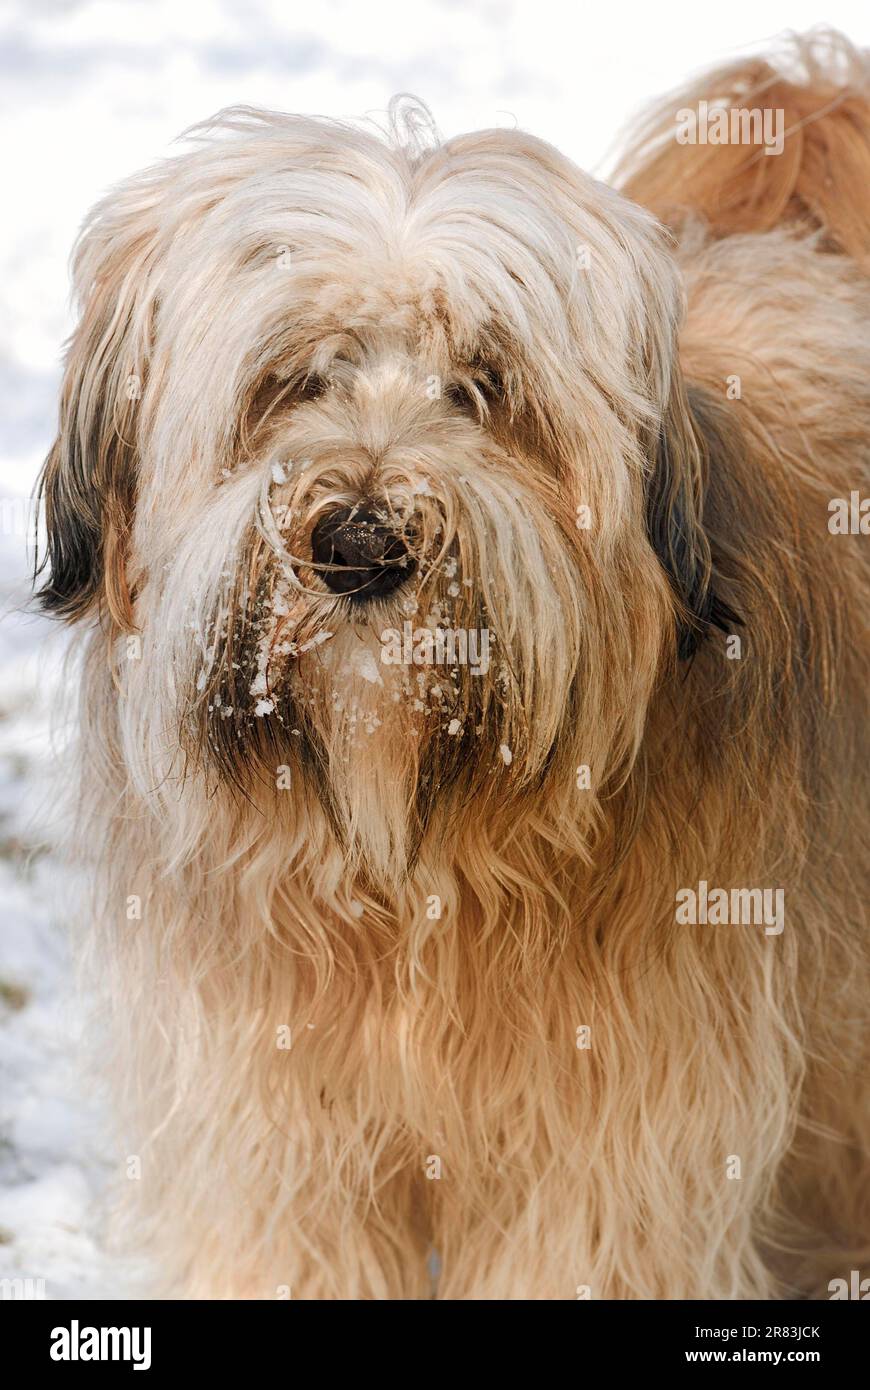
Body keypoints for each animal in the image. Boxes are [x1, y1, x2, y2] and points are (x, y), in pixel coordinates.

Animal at [38, 27, 867, 1295]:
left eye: (484, 386)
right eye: (293, 379)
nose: (361, 544)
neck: (409, 875)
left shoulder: (609, 1165)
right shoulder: (272, 1147)